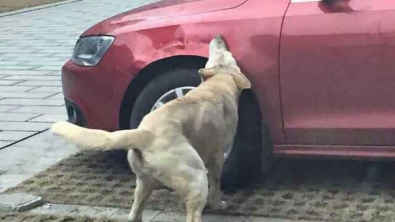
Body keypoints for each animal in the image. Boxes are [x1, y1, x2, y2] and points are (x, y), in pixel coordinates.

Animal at [50, 35, 251, 222]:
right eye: (227, 54)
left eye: (218, 52)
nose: (219, 37)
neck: (219, 82)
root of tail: (144, 133)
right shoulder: (217, 156)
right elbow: (216, 184)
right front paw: (218, 203)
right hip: (196, 176)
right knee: (193, 215)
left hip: (143, 185)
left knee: (134, 214)